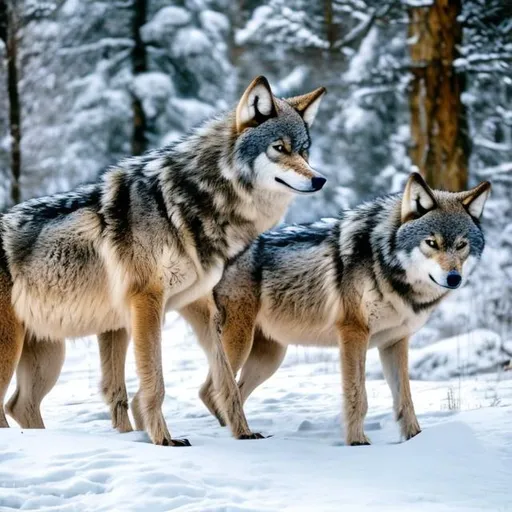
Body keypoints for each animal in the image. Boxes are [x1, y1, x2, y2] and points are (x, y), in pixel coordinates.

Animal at [0, 75, 326, 444]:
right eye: (279, 148)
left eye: (304, 150)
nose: (319, 179)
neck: (194, 203)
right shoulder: (146, 302)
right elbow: (154, 382)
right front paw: (163, 441)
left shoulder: (199, 306)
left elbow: (224, 379)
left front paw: (243, 433)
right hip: (14, 349)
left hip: (49, 356)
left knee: (18, 405)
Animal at [195, 172, 488, 444]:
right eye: (431, 243)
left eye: (461, 245)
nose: (454, 278)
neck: (384, 265)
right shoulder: (353, 332)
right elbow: (358, 394)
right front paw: (357, 442)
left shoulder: (395, 341)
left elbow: (405, 398)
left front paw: (415, 440)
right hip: (240, 343)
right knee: (213, 390)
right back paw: (241, 434)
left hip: (269, 358)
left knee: (224, 391)